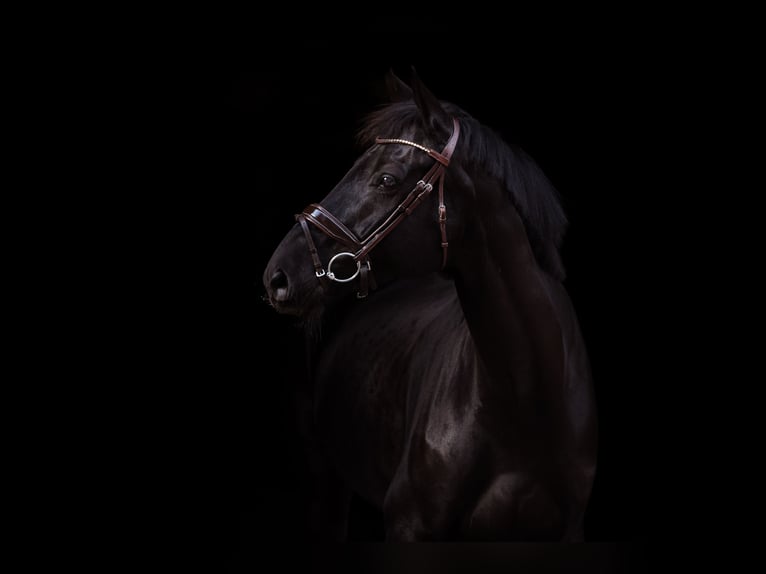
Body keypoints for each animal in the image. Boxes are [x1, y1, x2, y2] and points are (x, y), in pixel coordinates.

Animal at [262, 69, 598, 541]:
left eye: (387, 179)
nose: (278, 275)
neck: (526, 397)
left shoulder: (567, 529)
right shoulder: (409, 525)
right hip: (322, 484)